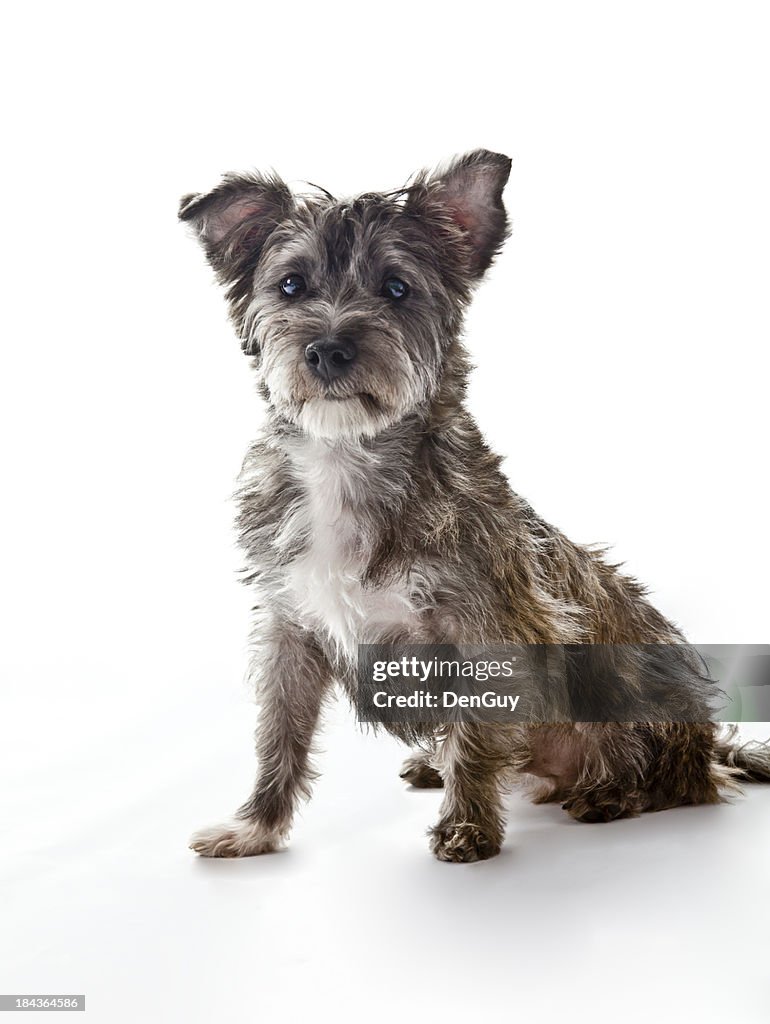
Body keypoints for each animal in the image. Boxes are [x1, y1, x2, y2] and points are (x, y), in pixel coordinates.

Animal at [176, 148, 770, 860]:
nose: (327, 350)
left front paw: (468, 828)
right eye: (291, 285)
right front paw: (255, 828)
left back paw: (611, 793)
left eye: (396, 288)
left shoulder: (484, 630)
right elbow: (278, 737)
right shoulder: (289, 630)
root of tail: (709, 741)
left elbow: (476, 734)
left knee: (671, 776)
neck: (347, 459)